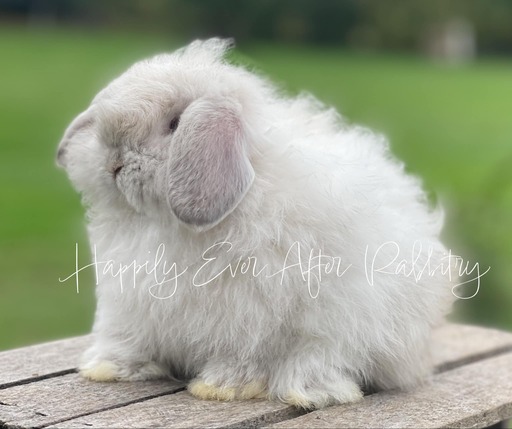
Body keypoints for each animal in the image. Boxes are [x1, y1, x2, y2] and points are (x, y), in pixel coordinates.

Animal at [56, 39, 454, 408]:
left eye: (174, 124)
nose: (114, 164)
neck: (161, 223)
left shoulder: (248, 319)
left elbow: (241, 355)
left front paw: (223, 388)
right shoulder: (129, 305)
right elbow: (128, 340)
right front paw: (108, 368)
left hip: (344, 327)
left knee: (321, 359)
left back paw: (308, 391)